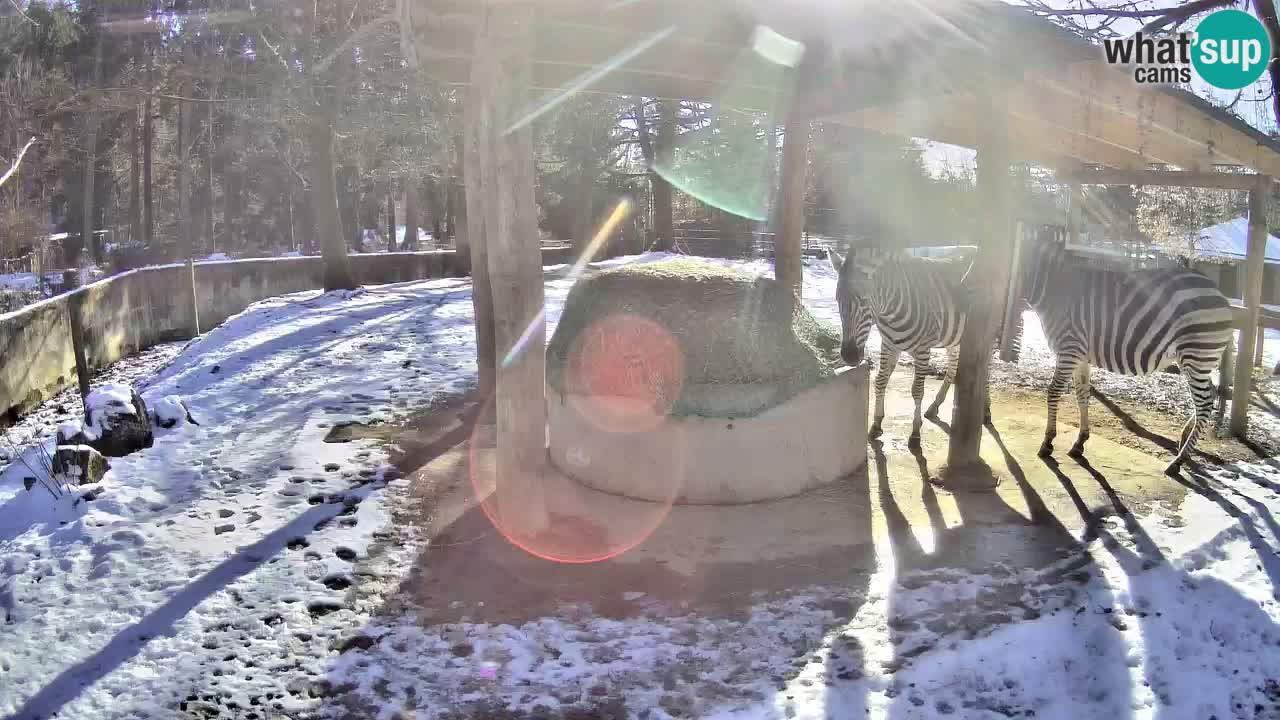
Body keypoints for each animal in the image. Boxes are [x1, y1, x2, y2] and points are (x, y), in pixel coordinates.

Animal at [824, 249, 1003, 445]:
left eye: (863, 300)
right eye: (837, 299)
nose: (849, 356)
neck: (889, 311)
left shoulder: (923, 350)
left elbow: (917, 391)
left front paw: (915, 432)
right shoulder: (888, 345)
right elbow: (880, 381)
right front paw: (876, 424)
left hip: (989, 333)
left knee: (986, 371)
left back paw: (986, 411)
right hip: (956, 337)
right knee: (954, 366)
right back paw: (934, 406)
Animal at [1018, 230, 1228, 476]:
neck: (1052, 289)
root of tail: (1218, 292)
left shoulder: (1069, 348)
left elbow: (1053, 392)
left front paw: (1048, 443)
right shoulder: (1080, 355)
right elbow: (1083, 394)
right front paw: (1080, 442)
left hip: (1196, 354)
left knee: (1204, 404)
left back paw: (1178, 461)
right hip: (1199, 360)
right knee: (1208, 396)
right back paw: (1183, 440)